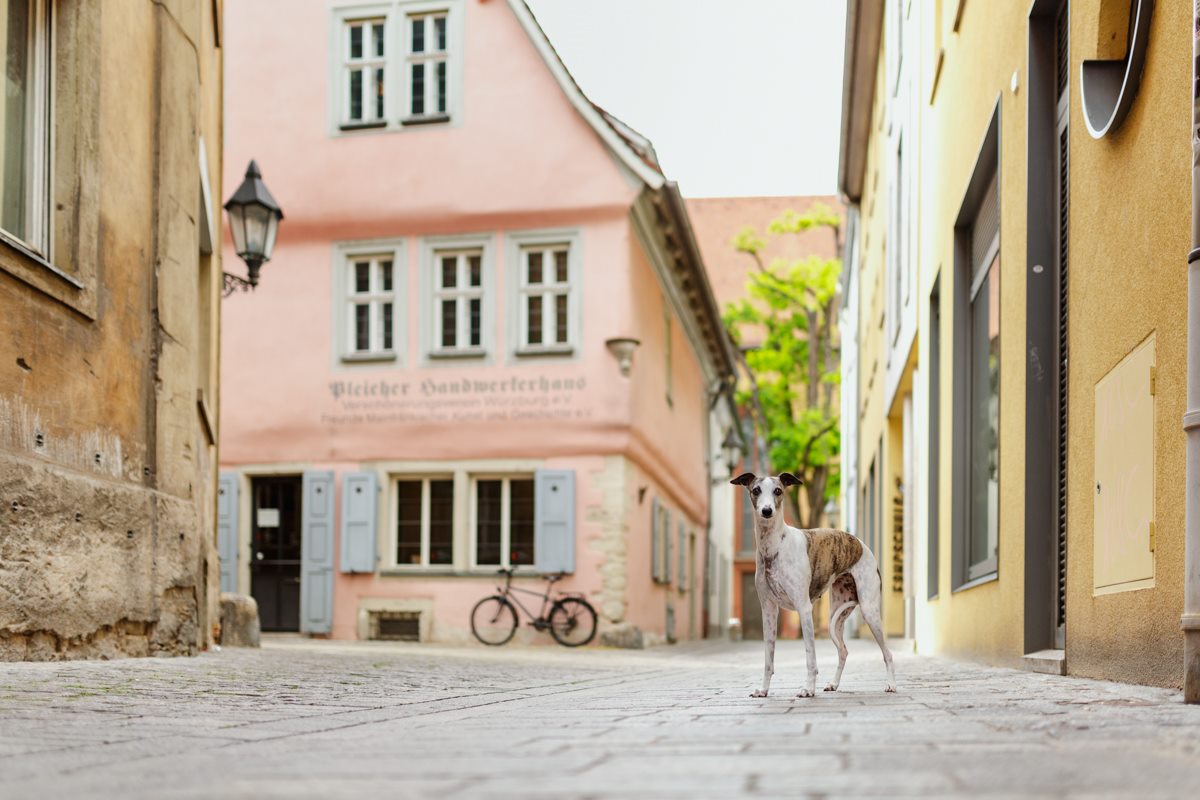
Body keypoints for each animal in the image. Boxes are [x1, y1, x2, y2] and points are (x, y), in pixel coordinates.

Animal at [724, 472, 897, 695]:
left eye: (778, 491)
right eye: (756, 490)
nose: (767, 511)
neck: (774, 546)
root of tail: (861, 544)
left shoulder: (804, 608)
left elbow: (810, 657)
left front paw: (808, 689)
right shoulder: (768, 610)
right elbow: (768, 659)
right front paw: (763, 690)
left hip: (870, 611)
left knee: (887, 653)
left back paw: (891, 684)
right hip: (836, 617)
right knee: (843, 651)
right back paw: (833, 684)